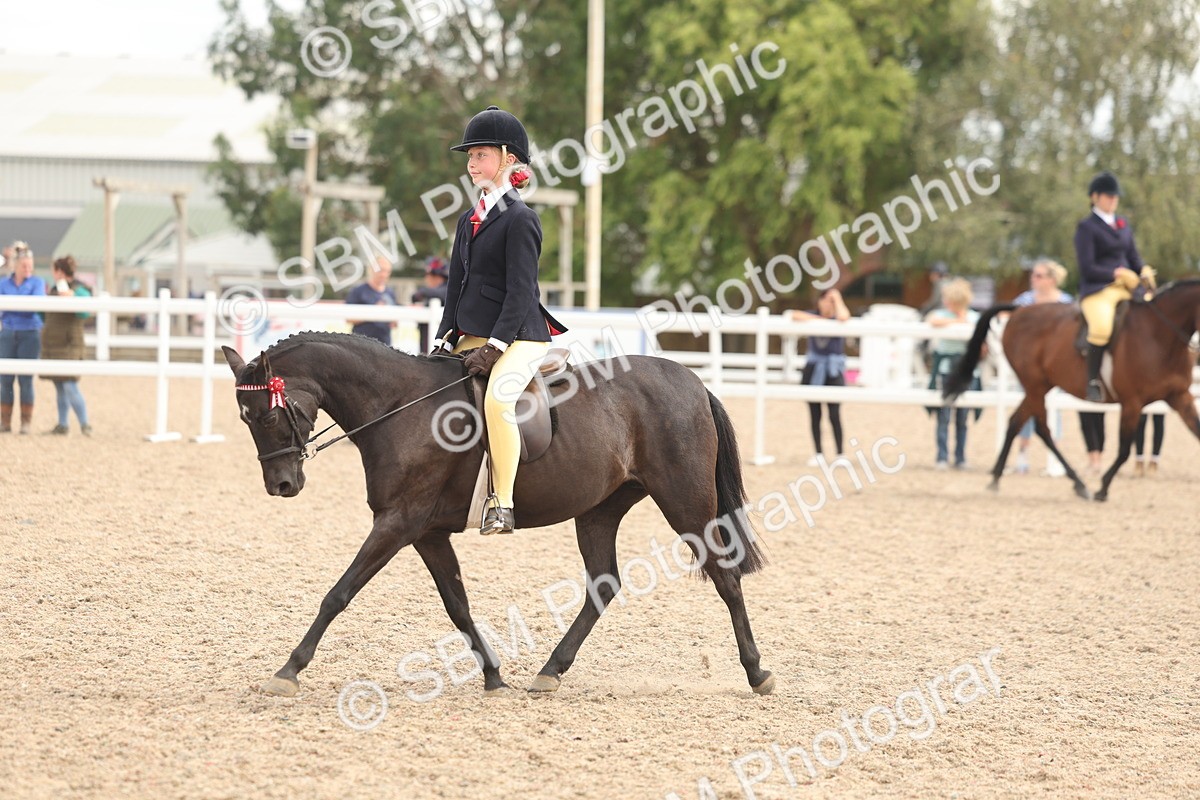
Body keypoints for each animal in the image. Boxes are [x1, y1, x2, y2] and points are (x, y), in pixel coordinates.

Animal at [222, 332, 775, 698]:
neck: (400, 406)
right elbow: (457, 606)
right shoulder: (426, 533)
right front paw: (492, 675)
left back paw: (757, 672)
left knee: (725, 576)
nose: (281, 486)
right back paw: (551, 670)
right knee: (603, 584)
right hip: (599, 510)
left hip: (685, 501)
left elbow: (338, 593)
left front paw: (288, 670)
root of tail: (690, 380)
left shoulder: (398, 523)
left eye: (266, 416)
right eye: (245, 419)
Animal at [942, 279, 1200, 501]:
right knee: (1042, 429)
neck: (1159, 336)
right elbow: (1124, 450)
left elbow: (1196, 431)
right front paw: (1102, 489)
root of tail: (1020, 310)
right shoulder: (1132, 403)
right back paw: (1079, 484)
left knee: (1016, 422)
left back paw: (995, 479)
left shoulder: (1180, 397)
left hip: (1040, 386)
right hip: (1035, 385)